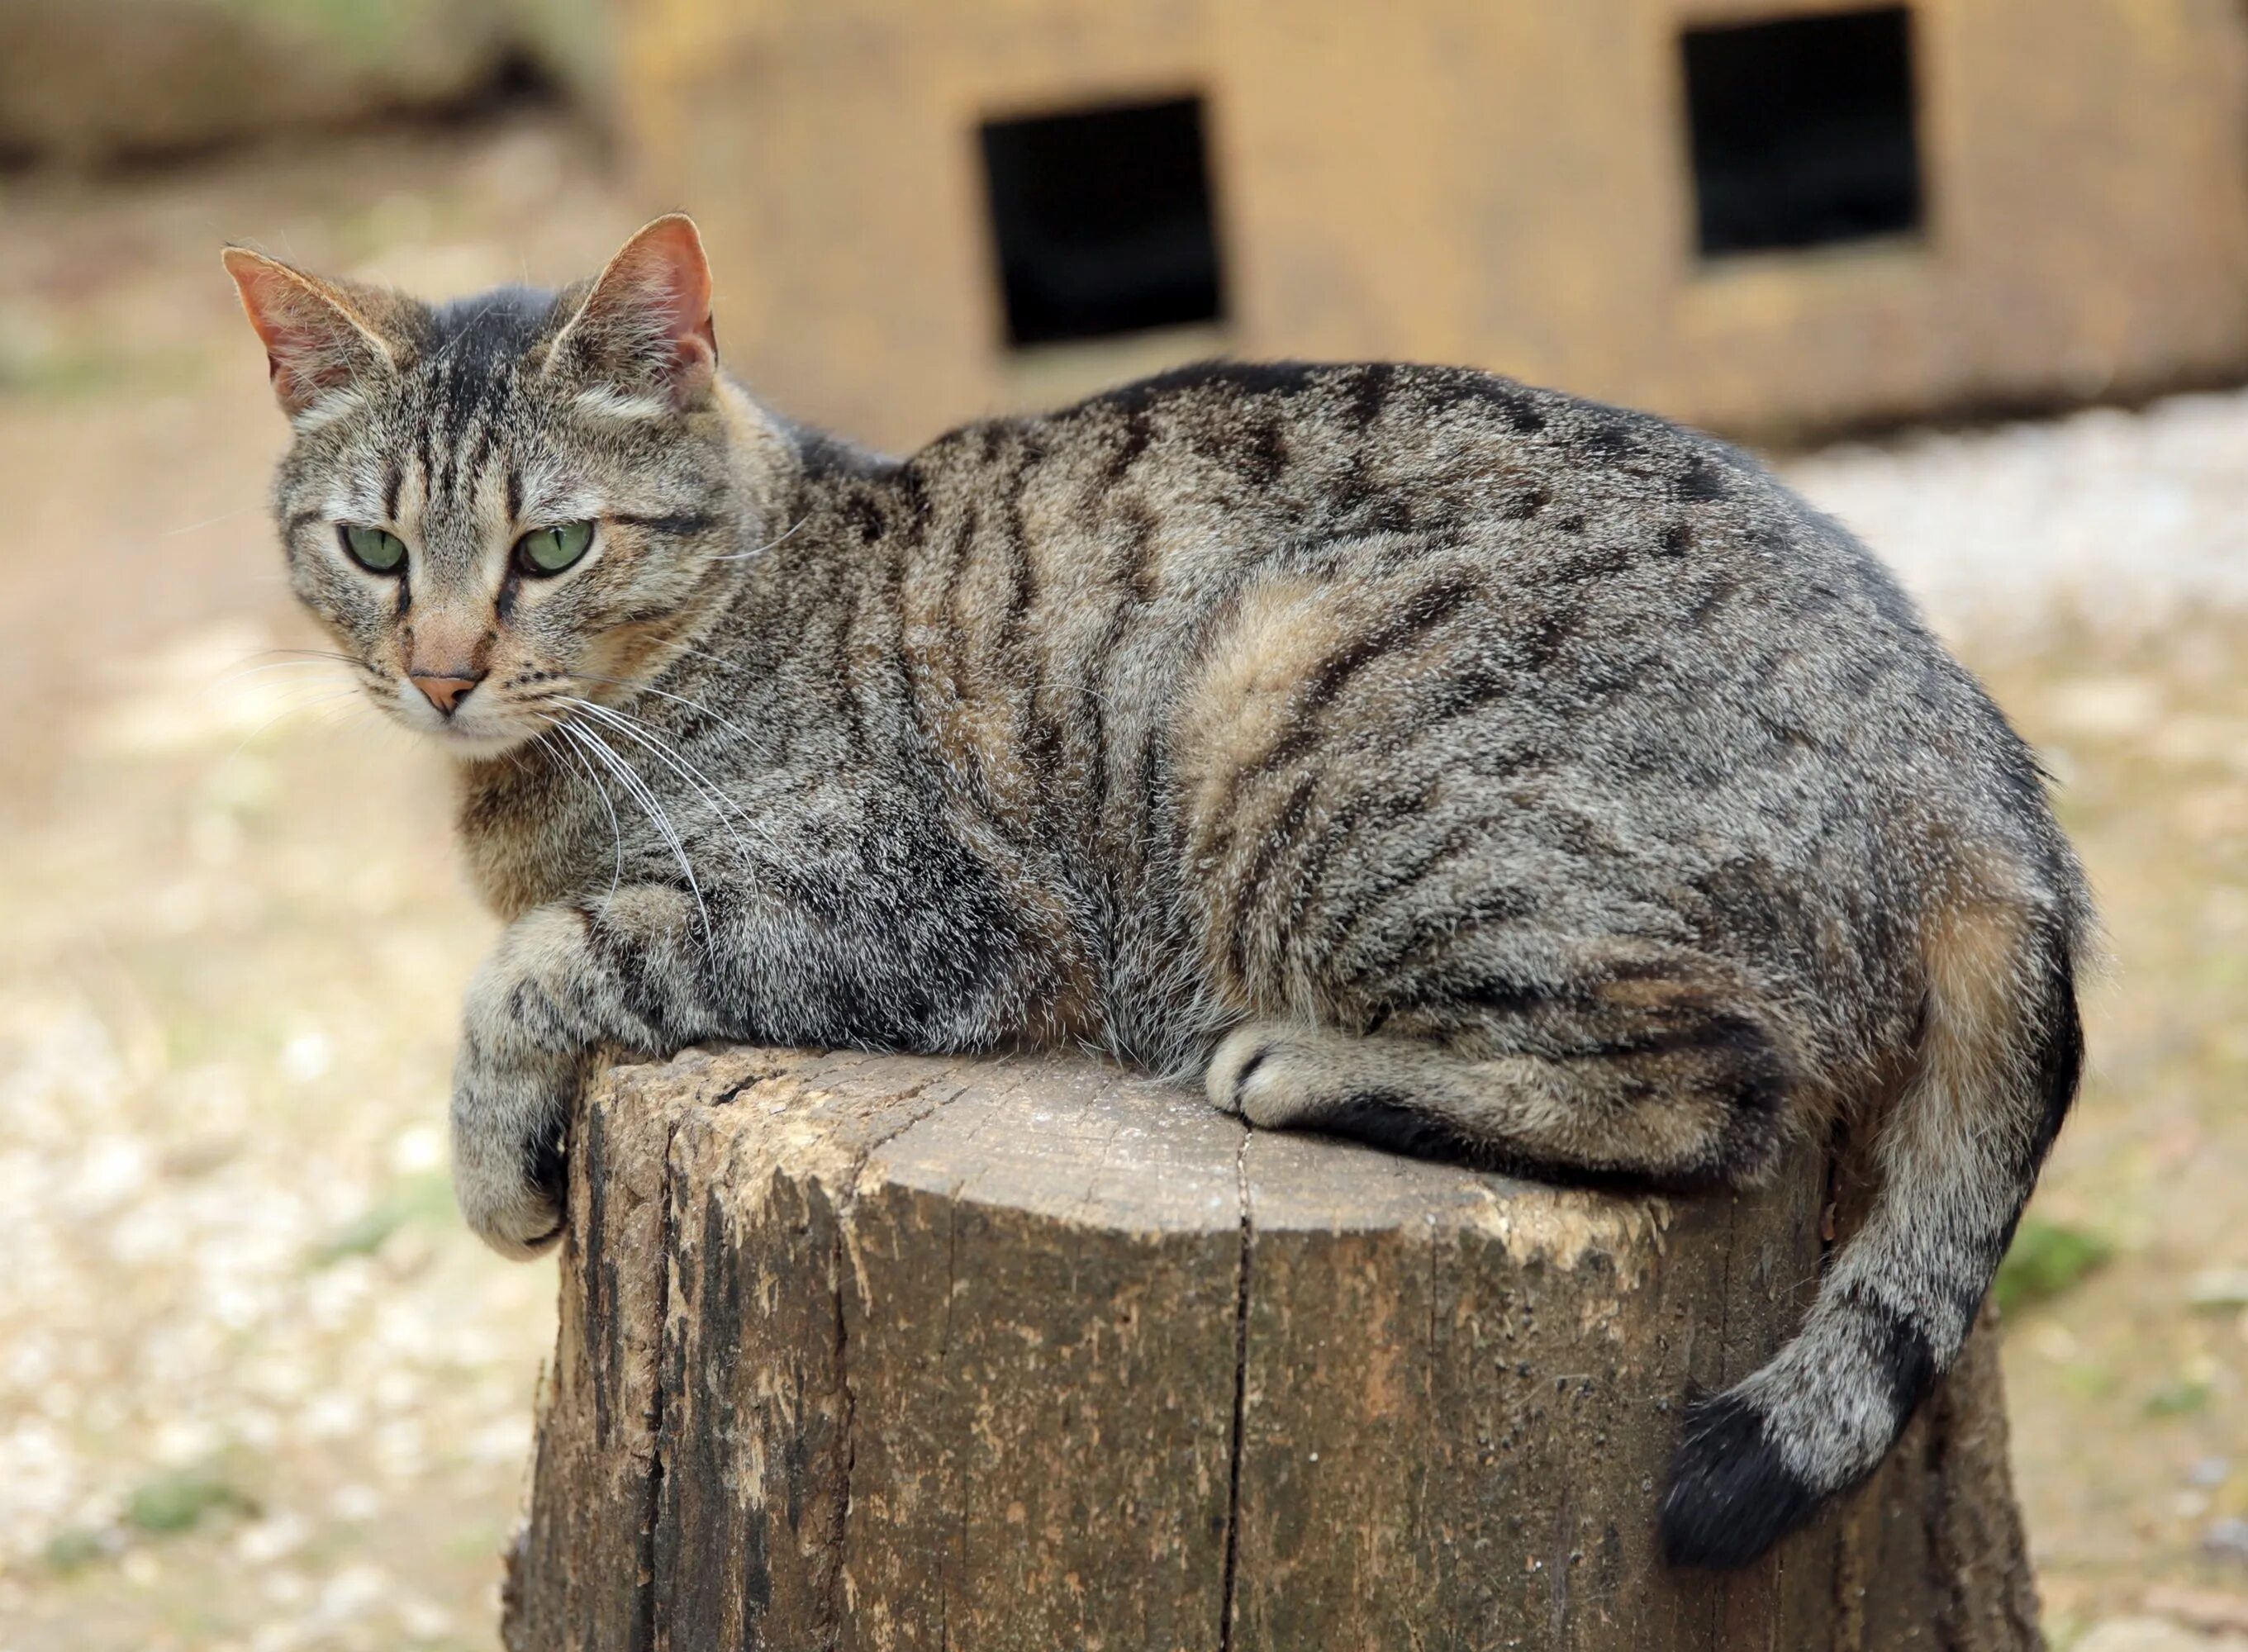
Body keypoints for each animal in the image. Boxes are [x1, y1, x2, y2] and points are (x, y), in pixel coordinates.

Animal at [223, 213, 2086, 1573]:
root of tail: (1967, 745)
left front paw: (491, 1159)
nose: (443, 672)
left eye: (553, 548)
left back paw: (1303, 1066)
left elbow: (543, 958)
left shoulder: (914, 907)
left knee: (1717, 1088)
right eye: (373, 549)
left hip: (1307, 716)